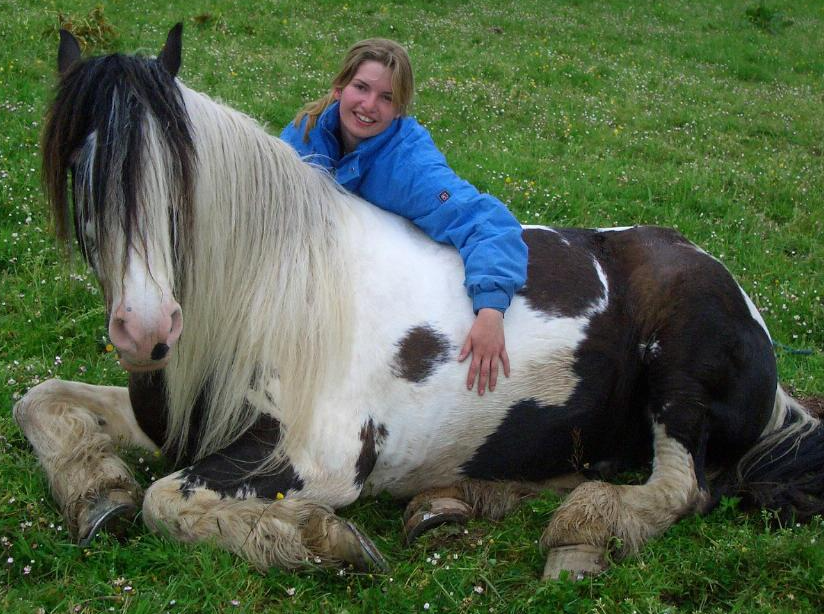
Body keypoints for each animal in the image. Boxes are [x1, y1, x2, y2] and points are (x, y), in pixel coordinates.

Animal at [14, 25, 824, 584]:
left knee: (682, 489)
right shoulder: (168, 427)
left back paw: (584, 533)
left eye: (178, 175)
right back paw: (453, 502)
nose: (145, 330)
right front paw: (97, 492)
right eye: (80, 168)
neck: (273, 294)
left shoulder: (319, 459)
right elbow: (38, 402)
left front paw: (320, 541)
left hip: (679, 379)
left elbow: (166, 503)